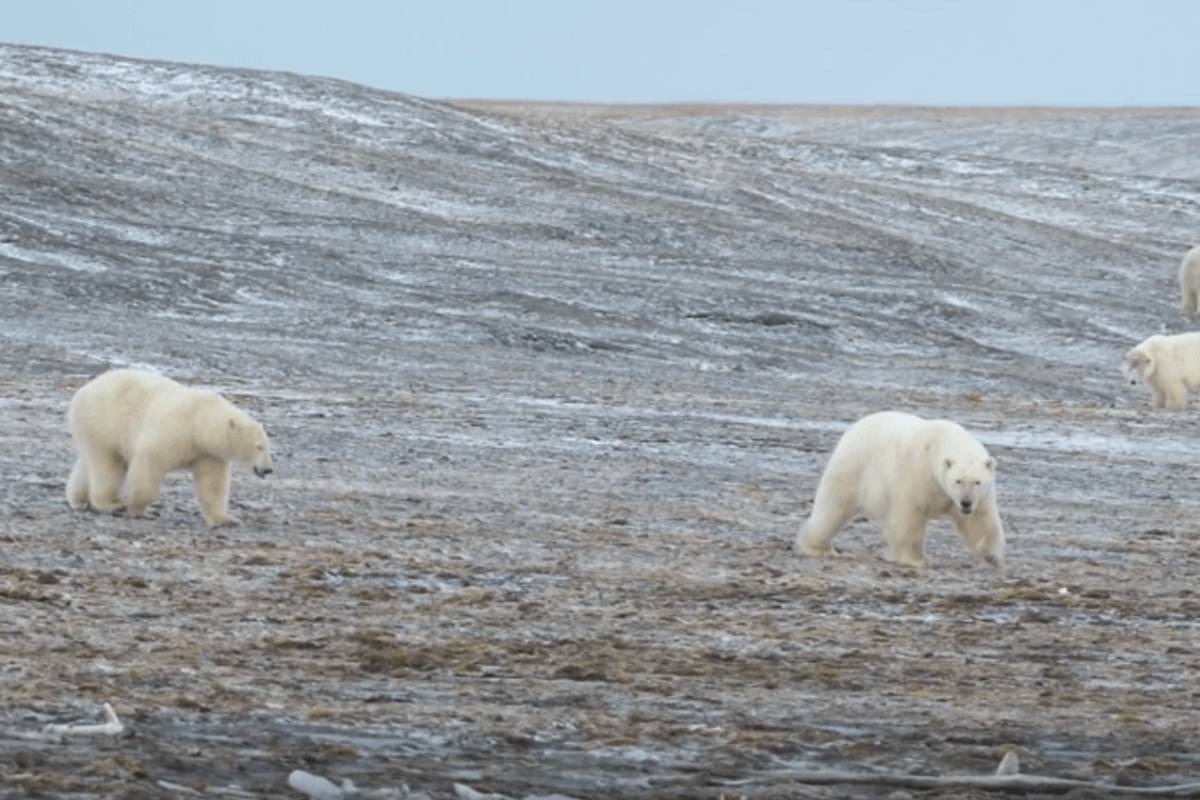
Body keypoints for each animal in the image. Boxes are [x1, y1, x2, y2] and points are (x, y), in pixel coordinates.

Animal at [66, 367, 274, 525]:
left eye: (267, 445)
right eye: (259, 447)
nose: (268, 469)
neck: (198, 423)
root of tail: (81, 392)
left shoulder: (207, 453)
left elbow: (212, 484)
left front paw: (226, 520)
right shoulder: (174, 432)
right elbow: (149, 462)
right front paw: (137, 506)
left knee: (88, 463)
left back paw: (79, 500)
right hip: (105, 423)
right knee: (108, 464)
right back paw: (112, 503)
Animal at [796, 412, 1003, 568]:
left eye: (977, 482)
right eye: (958, 481)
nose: (965, 503)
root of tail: (855, 427)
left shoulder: (977, 498)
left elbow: (980, 521)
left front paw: (991, 555)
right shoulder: (919, 475)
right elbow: (910, 516)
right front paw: (916, 559)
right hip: (853, 469)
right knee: (833, 507)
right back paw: (819, 547)